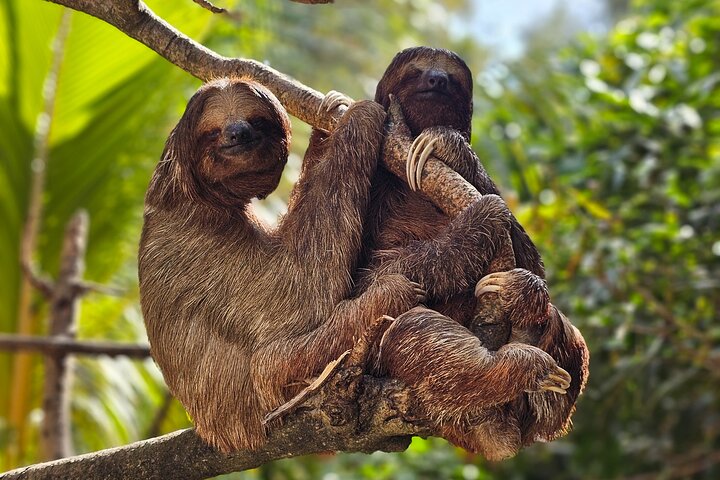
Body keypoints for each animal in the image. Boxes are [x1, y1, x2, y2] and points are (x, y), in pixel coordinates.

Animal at [138, 78, 430, 453]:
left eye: (256, 121)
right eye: (213, 131)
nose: (238, 132)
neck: (188, 193)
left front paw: (327, 120)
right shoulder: (202, 240)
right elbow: (300, 290)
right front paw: (360, 115)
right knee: (270, 361)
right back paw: (387, 295)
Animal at [348, 46, 589, 459]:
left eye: (453, 79)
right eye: (416, 72)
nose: (437, 79)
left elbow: (531, 257)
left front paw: (448, 144)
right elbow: (369, 278)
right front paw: (480, 217)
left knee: (566, 330)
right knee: (407, 328)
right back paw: (523, 368)